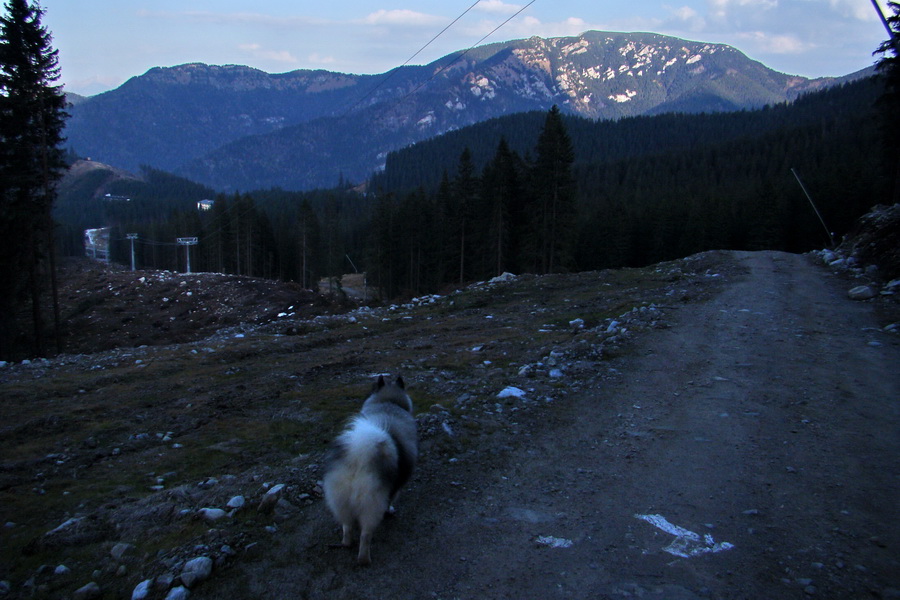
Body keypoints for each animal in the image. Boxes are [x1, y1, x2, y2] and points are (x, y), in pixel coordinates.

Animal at [324, 372, 418, 564]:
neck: (388, 403)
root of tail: (358, 457)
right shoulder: (396, 485)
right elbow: (391, 499)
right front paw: (390, 511)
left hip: (340, 502)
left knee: (347, 527)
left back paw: (347, 544)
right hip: (371, 506)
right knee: (366, 535)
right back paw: (364, 559)